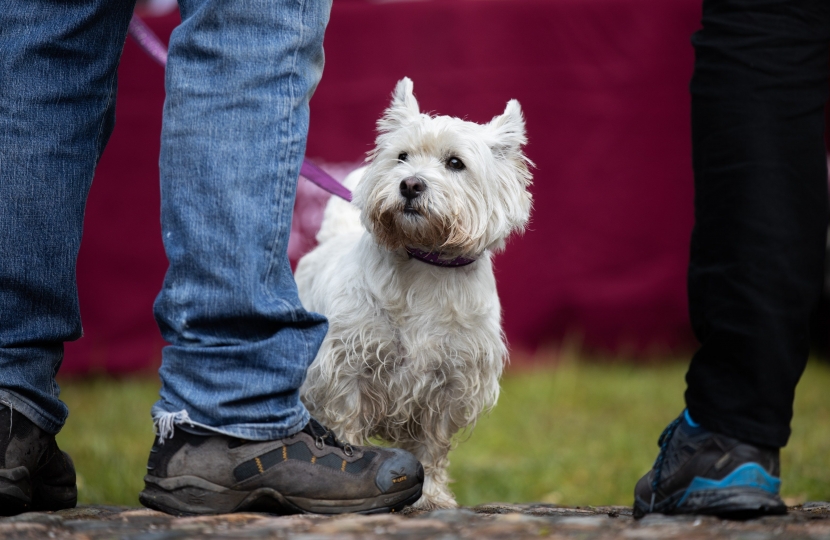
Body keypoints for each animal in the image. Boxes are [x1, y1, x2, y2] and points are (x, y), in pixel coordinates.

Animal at [300, 78, 532, 508]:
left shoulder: (451, 381)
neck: (426, 265)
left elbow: (433, 445)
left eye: (455, 163)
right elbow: (345, 421)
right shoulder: (345, 367)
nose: (410, 184)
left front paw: (431, 496)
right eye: (402, 157)